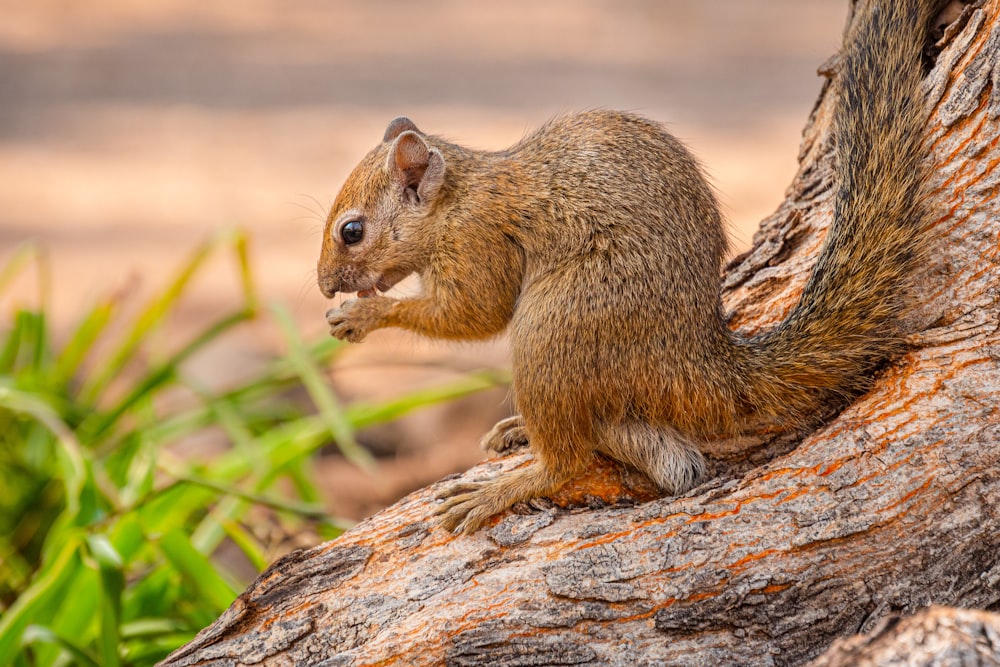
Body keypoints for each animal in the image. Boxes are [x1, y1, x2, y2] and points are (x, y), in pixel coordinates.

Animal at [316, 0, 948, 532]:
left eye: (352, 231)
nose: (323, 287)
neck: (455, 200)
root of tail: (694, 360)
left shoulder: (479, 245)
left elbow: (473, 315)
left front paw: (364, 316)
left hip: (555, 326)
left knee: (567, 460)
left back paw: (505, 484)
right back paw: (528, 431)